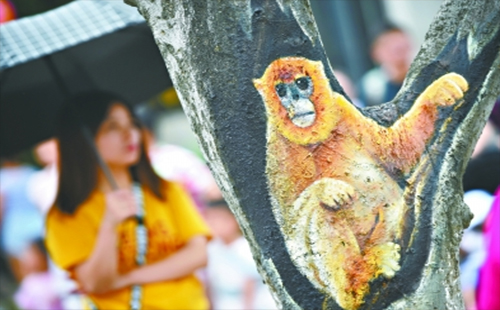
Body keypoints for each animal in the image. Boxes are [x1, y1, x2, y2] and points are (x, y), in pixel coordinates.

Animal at [254, 56, 468, 310]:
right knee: (323, 210)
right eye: (281, 90)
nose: (295, 97)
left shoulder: (340, 106)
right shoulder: (277, 145)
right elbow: (290, 229)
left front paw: (439, 92)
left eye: (301, 83)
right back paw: (355, 286)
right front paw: (327, 190)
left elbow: (394, 151)